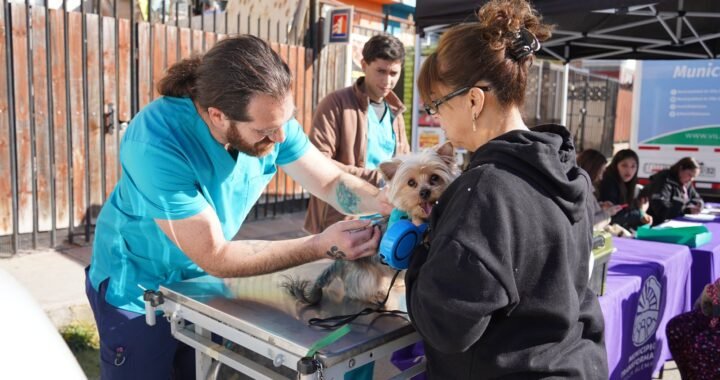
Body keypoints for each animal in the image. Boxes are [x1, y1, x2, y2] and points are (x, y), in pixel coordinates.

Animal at [282, 142, 456, 306]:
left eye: (434, 178)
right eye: (411, 183)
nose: (424, 192)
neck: (423, 220)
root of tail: (339, 262)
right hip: (366, 276)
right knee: (355, 290)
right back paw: (373, 296)